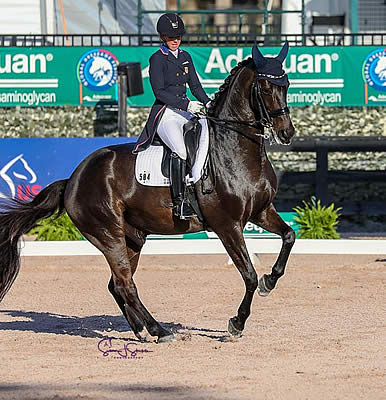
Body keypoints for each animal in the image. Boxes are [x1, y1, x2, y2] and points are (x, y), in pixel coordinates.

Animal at [0, 44, 296, 344]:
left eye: (286, 85)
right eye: (265, 87)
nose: (287, 133)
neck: (235, 148)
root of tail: (73, 179)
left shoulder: (261, 212)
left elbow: (288, 236)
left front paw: (270, 281)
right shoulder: (227, 226)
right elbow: (249, 275)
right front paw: (236, 324)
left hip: (133, 238)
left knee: (117, 285)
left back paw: (142, 330)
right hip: (108, 235)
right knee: (125, 283)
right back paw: (159, 331)